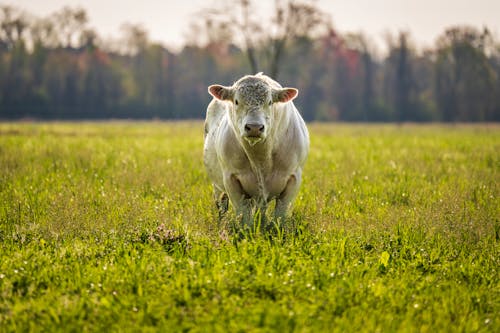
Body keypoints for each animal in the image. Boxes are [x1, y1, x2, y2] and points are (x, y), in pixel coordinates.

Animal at [203, 71, 308, 224]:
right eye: (236, 101)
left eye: (270, 102)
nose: (254, 127)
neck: (260, 159)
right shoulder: (231, 179)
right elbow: (244, 216)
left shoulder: (293, 178)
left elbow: (280, 215)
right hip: (217, 186)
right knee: (222, 206)